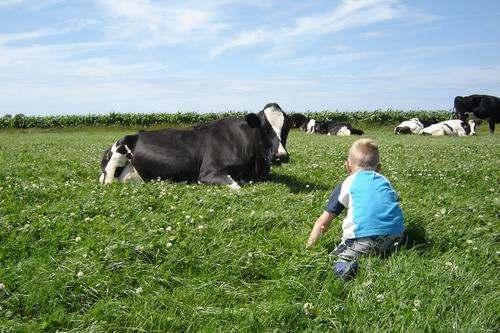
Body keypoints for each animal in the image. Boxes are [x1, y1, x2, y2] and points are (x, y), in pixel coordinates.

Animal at [99, 102, 292, 188]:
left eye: (287, 128)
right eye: (264, 128)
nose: (281, 155)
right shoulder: (208, 172)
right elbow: (236, 186)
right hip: (117, 156)